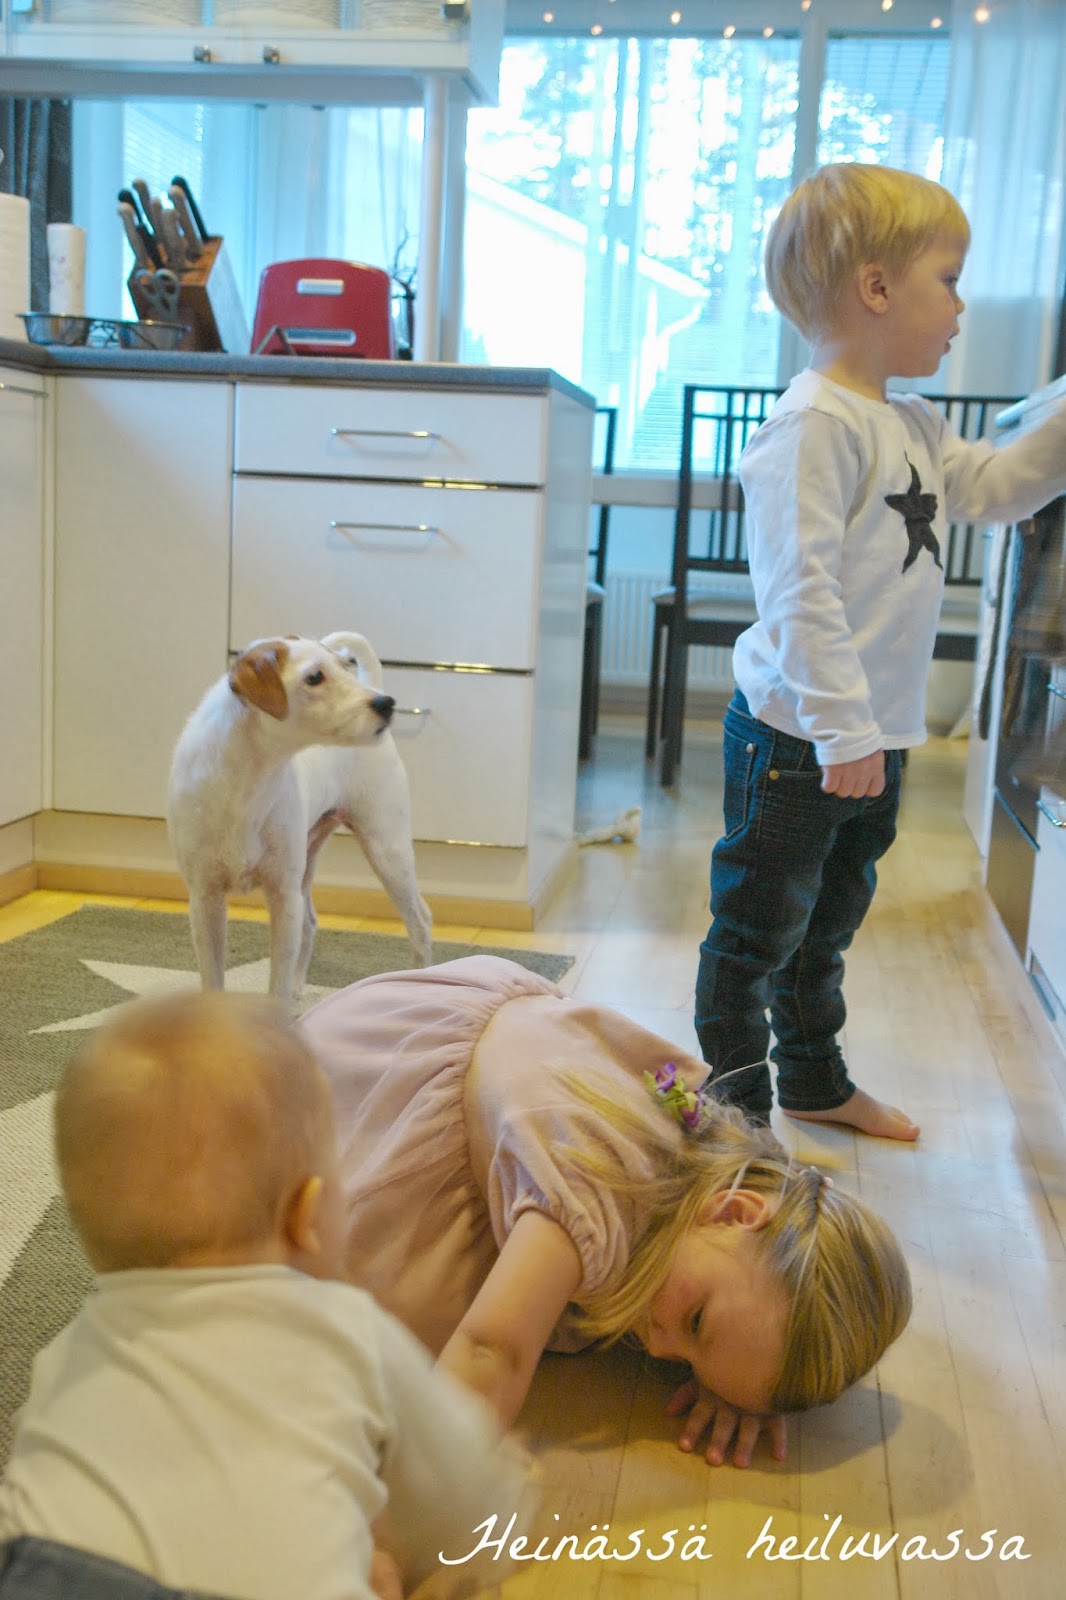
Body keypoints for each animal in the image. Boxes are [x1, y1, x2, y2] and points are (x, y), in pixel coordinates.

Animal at [167, 631, 432, 1003]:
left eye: (344, 666)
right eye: (314, 677)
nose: (386, 704)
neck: (247, 784)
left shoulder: (283, 895)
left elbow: (275, 984)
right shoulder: (205, 900)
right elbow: (213, 979)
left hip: (386, 848)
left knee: (421, 921)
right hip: (310, 856)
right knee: (310, 923)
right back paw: (297, 990)